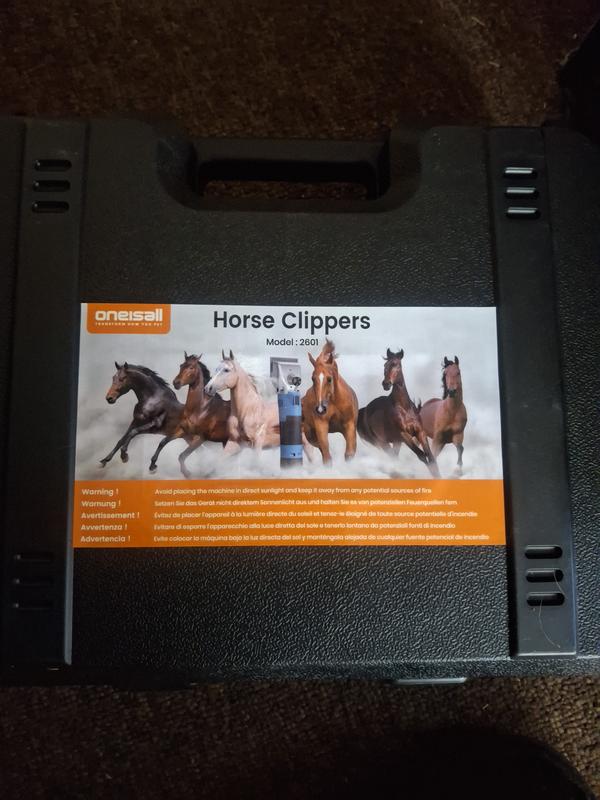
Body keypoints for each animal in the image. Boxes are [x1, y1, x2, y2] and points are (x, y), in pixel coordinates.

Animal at [357, 348, 439, 477]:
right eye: (385, 365)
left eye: (396, 364)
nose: (386, 384)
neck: (405, 408)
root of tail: (363, 411)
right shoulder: (403, 434)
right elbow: (421, 455)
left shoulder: (420, 432)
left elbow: (431, 458)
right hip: (381, 443)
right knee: (393, 458)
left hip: (395, 443)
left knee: (394, 457)